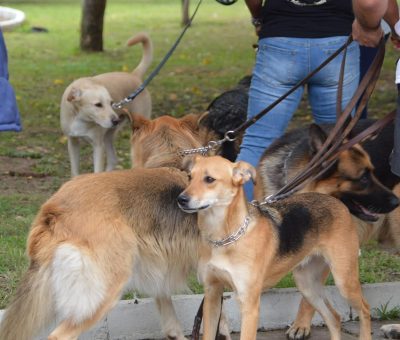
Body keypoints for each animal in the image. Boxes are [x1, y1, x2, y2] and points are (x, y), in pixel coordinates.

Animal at [0, 113, 231, 340]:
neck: (172, 162)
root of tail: (53, 209)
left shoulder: (160, 269)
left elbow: (172, 319)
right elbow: (218, 315)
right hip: (103, 291)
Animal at [60, 32, 152, 177]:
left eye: (111, 103)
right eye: (98, 105)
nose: (115, 120)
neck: (81, 118)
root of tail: (134, 76)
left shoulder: (98, 146)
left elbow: (97, 171)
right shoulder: (73, 142)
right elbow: (74, 172)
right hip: (108, 136)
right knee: (113, 159)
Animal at [178, 156, 372, 340]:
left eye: (209, 179)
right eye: (189, 177)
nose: (181, 199)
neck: (225, 238)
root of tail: (337, 202)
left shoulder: (249, 305)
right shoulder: (212, 295)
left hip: (344, 280)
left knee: (365, 309)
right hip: (307, 285)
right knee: (334, 318)